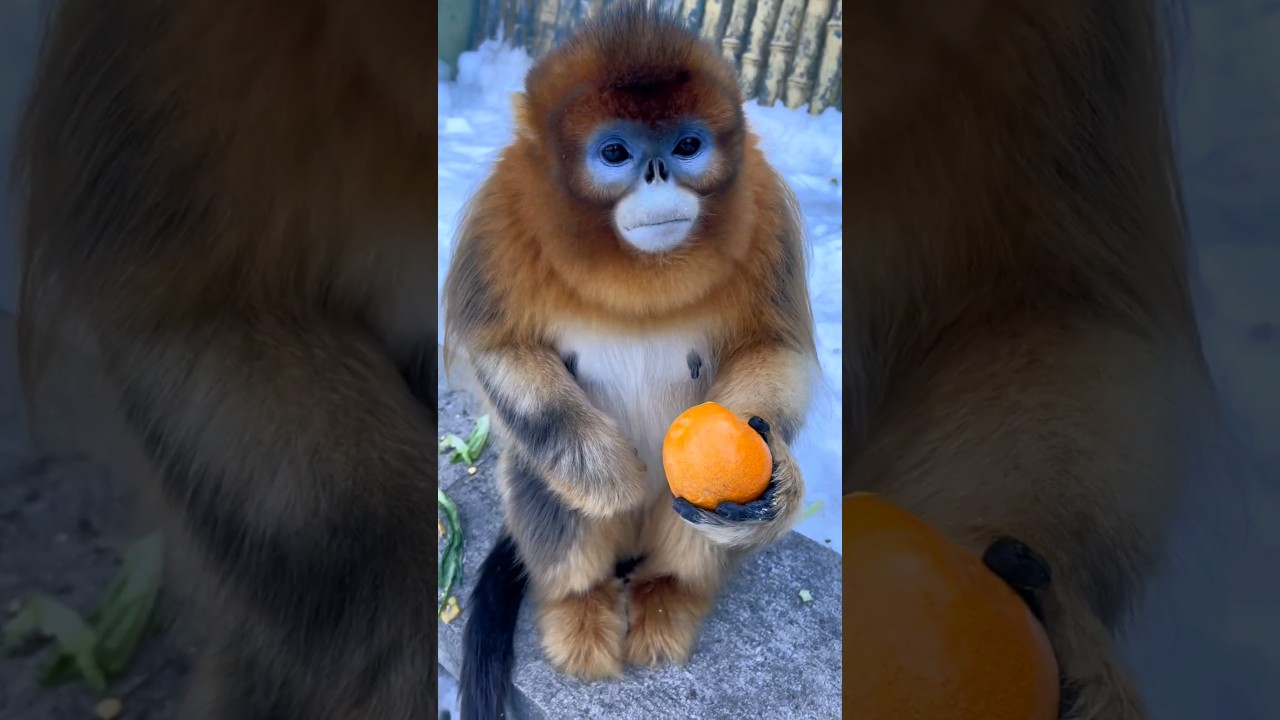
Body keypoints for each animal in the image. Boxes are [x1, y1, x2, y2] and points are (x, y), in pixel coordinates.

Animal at [441, 5, 819, 718]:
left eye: (687, 146)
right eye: (616, 153)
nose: (658, 173)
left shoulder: (767, 213)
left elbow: (771, 348)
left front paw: (777, 471)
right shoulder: (498, 219)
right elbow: (498, 348)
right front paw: (602, 471)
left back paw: (667, 595)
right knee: (540, 473)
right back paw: (579, 608)